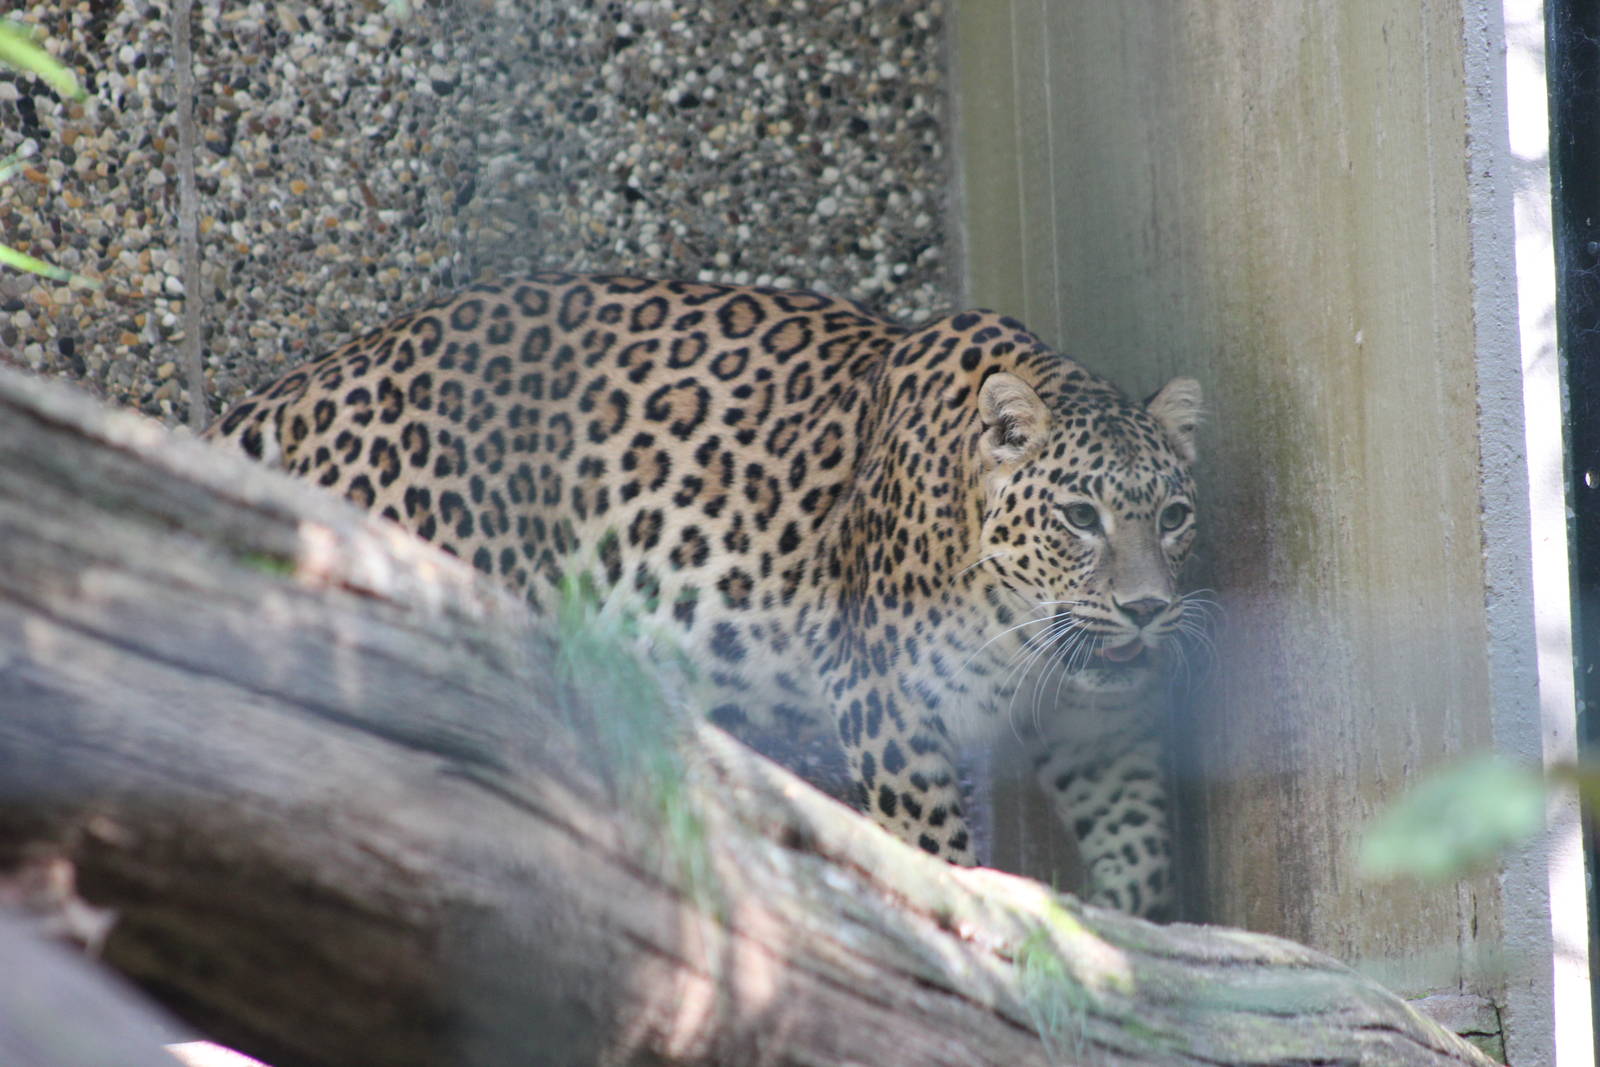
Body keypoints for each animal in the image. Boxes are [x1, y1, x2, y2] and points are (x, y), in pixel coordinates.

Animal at [205, 272, 1203, 919]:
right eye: (1079, 516)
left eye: (1176, 515)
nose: (1149, 608)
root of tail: (293, 389)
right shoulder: (886, 702)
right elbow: (932, 857)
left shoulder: (1095, 714)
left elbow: (1140, 838)